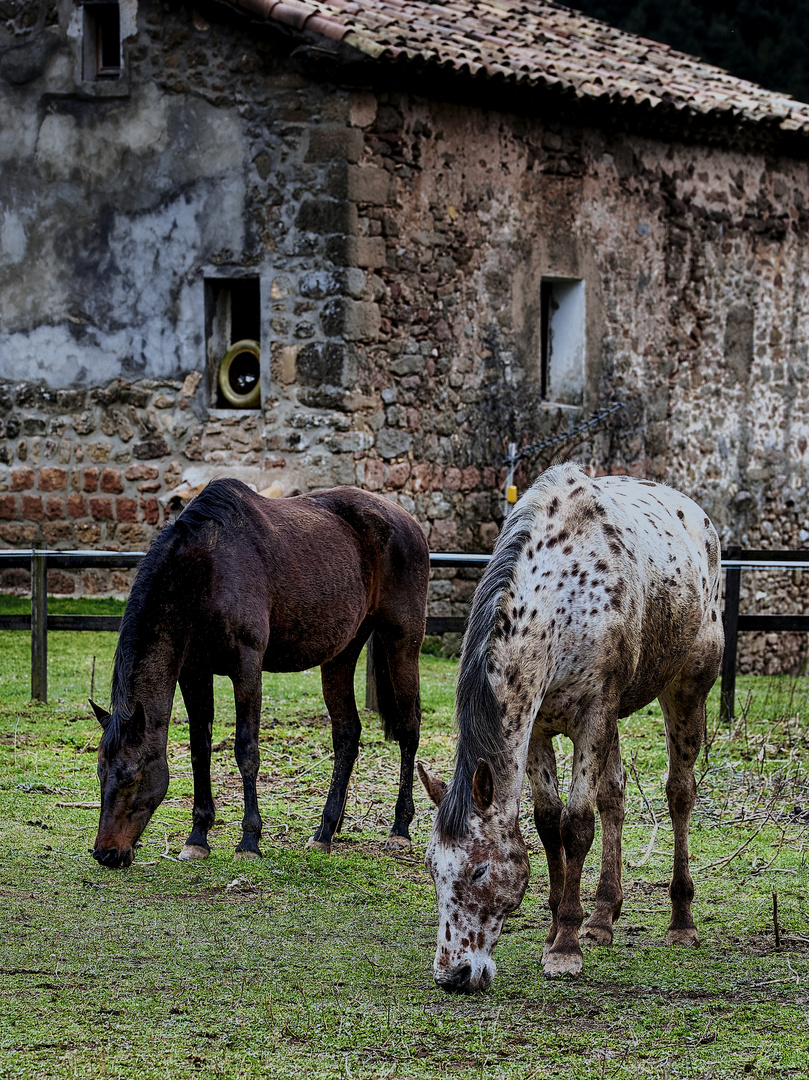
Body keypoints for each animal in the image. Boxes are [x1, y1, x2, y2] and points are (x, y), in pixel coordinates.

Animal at [90, 481, 429, 868]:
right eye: (100, 771)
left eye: (132, 775)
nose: (106, 852)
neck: (205, 571)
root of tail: (407, 521)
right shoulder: (193, 671)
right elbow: (199, 749)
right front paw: (198, 836)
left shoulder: (247, 666)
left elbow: (246, 751)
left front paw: (249, 839)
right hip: (342, 653)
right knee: (346, 734)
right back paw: (326, 831)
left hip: (402, 642)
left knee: (408, 729)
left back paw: (399, 829)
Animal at [419, 462, 721, 989]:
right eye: (433, 870)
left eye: (479, 871)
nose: (452, 975)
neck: (564, 597)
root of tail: (699, 518)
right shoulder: (539, 725)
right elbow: (547, 822)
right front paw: (561, 924)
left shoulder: (593, 715)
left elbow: (576, 825)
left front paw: (564, 947)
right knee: (614, 796)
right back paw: (602, 916)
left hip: (686, 691)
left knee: (680, 794)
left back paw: (681, 922)